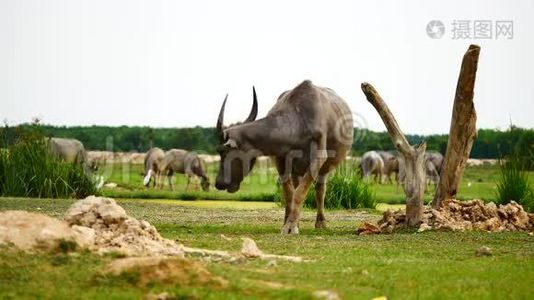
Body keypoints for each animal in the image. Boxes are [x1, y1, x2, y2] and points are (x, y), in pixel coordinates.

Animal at [214, 81, 356, 233]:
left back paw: (320, 222)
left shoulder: (318, 159)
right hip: (296, 170)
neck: (299, 122)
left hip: (325, 168)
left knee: (320, 189)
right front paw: (289, 224)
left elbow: (299, 193)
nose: (218, 183)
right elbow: (289, 193)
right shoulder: (280, 159)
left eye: (222, 151)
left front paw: (291, 227)